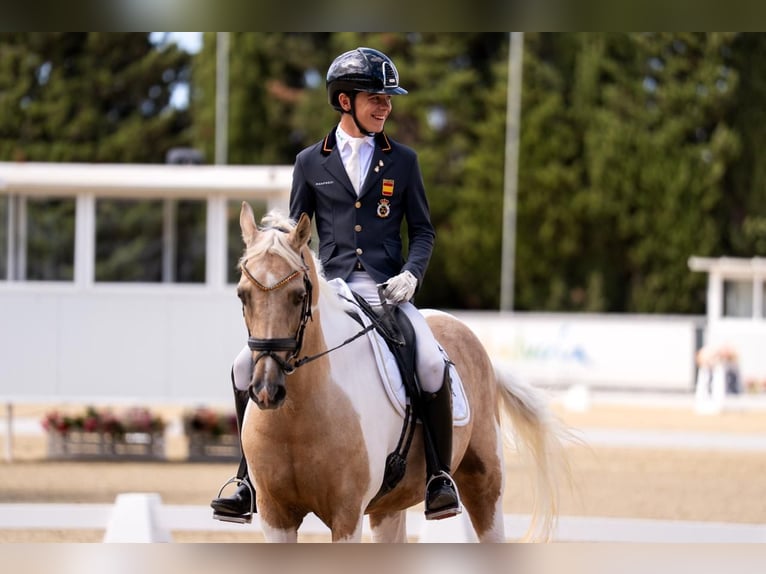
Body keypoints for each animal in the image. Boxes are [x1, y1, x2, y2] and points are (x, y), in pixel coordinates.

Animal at [236, 202, 570, 542]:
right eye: (242, 295)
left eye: (298, 296)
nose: (267, 390)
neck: (297, 414)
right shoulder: (275, 515)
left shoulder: (346, 514)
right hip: (389, 506)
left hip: (486, 482)